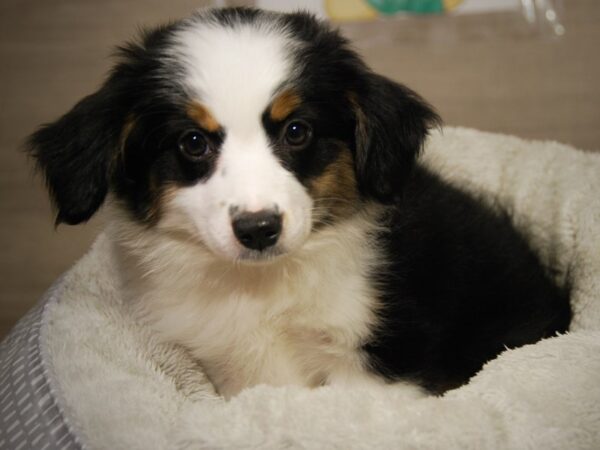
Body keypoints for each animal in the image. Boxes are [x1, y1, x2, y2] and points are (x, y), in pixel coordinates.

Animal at [29, 8, 572, 400]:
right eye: (192, 142)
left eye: (296, 131)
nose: (258, 228)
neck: (263, 288)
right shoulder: (230, 367)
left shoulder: (388, 362)